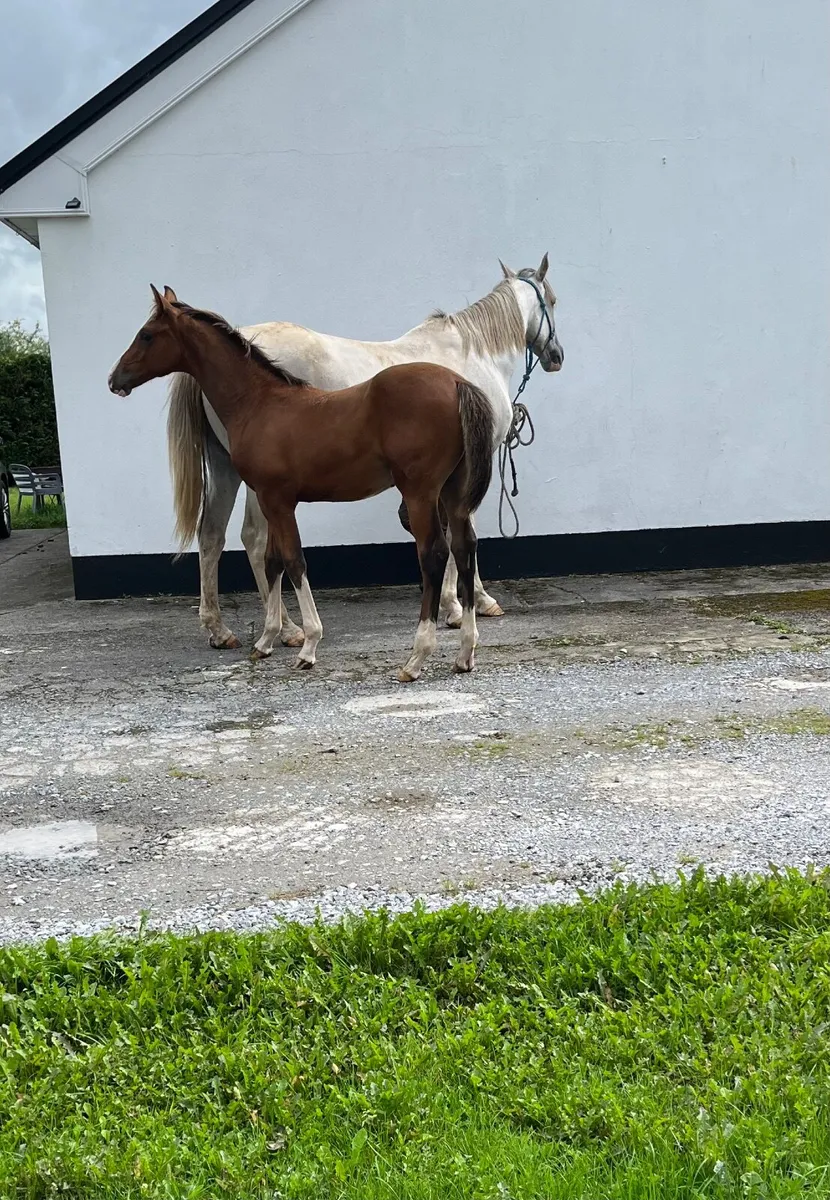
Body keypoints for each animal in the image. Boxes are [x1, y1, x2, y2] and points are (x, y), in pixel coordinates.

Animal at [109, 287, 498, 682]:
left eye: (147, 335)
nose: (115, 379)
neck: (259, 403)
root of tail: (457, 383)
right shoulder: (273, 500)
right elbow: (273, 561)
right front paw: (267, 640)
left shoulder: (276, 500)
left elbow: (293, 561)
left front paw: (308, 644)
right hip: (452, 491)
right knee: (464, 548)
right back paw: (465, 653)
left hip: (420, 492)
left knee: (433, 554)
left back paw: (416, 658)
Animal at [167, 257, 563, 650]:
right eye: (553, 300)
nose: (556, 356)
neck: (473, 354)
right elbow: (462, 530)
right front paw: (467, 602)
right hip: (260, 484)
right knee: (255, 537)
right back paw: (288, 628)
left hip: (225, 467)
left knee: (212, 535)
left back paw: (220, 629)